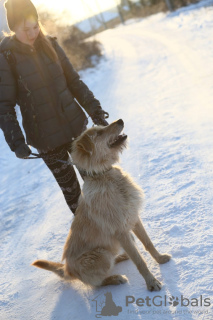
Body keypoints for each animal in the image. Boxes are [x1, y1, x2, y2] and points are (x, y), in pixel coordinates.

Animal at [32, 119, 171, 292]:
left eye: (101, 127)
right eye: (98, 133)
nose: (120, 120)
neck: (104, 175)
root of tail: (67, 269)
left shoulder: (133, 218)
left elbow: (148, 243)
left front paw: (160, 259)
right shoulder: (120, 231)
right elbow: (139, 261)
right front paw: (151, 282)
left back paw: (122, 256)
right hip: (100, 254)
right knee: (96, 283)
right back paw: (115, 278)